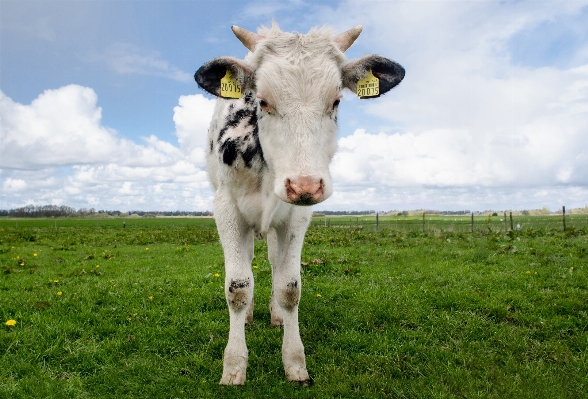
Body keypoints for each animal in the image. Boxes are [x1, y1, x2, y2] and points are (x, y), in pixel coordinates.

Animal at [194, 22, 404, 388]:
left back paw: (276, 315)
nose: (304, 184)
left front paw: (294, 362)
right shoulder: (226, 208)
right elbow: (237, 287)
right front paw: (234, 366)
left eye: (336, 100)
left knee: (275, 264)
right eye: (262, 101)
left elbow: (289, 286)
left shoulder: (297, 214)